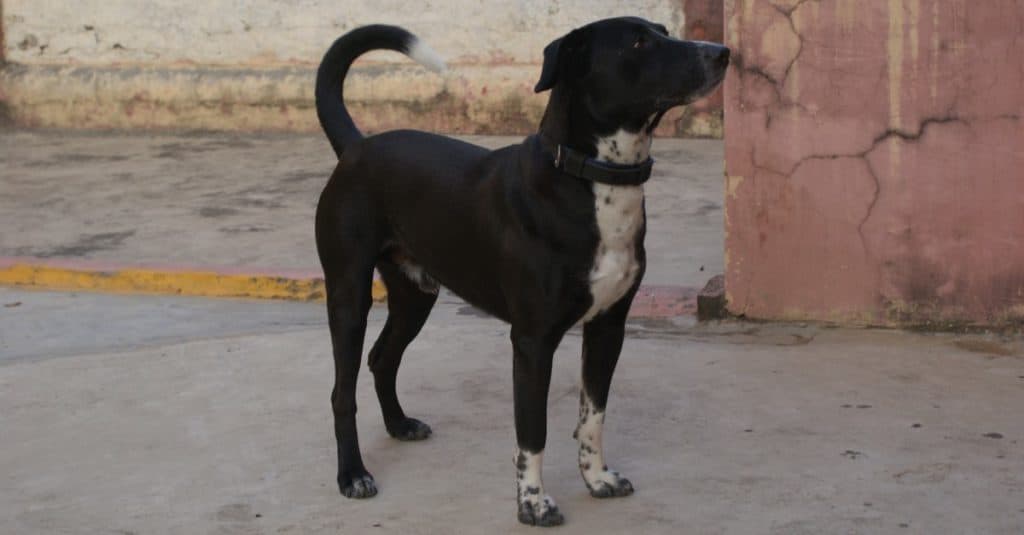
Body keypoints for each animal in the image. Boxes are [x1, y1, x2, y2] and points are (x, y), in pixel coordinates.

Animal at [311, 16, 729, 524]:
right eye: (638, 42)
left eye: (664, 30)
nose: (723, 53)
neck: (588, 178)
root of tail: (357, 147)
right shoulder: (532, 342)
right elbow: (533, 431)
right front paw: (533, 502)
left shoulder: (609, 327)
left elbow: (593, 416)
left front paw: (597, 479)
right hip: (348, 294)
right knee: (342, 391)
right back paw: (352, 474)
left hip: (415, 296)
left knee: (382, 358)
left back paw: (398, 424)